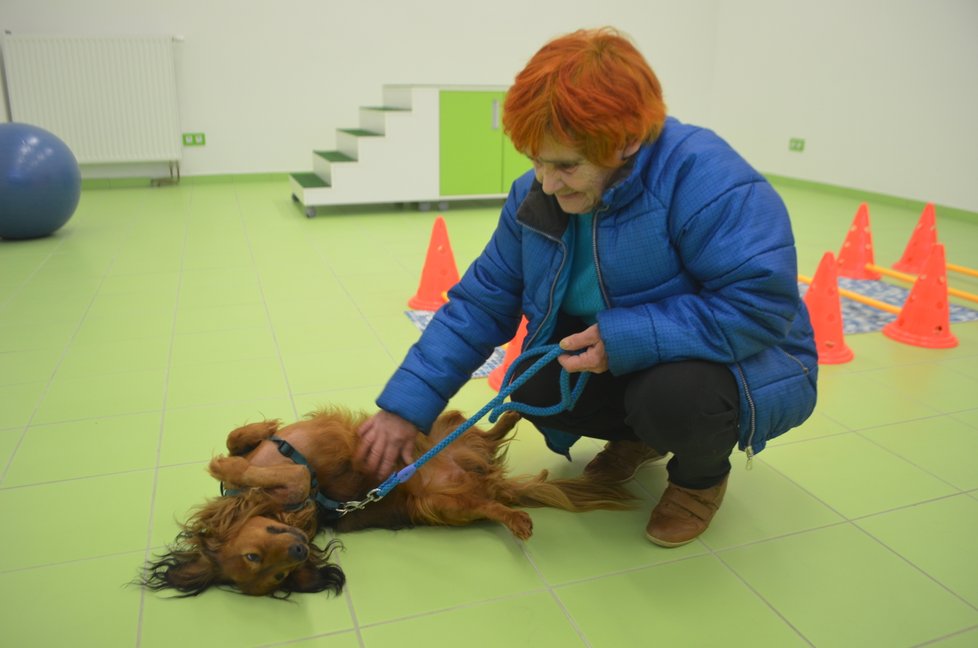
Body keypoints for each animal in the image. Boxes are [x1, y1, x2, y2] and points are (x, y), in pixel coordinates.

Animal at [143, 408, 632, 596]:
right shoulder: (299, 489)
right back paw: (514, 514)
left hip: (438, 426)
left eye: (253, 555)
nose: (300, 548)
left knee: (482, 431)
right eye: (266, 567)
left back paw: (511, 409)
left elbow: (239, 438)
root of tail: (486, 479)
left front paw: (236, 454)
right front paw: (231, 466)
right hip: (449, 503)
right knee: (490, 500)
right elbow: (297, 477)